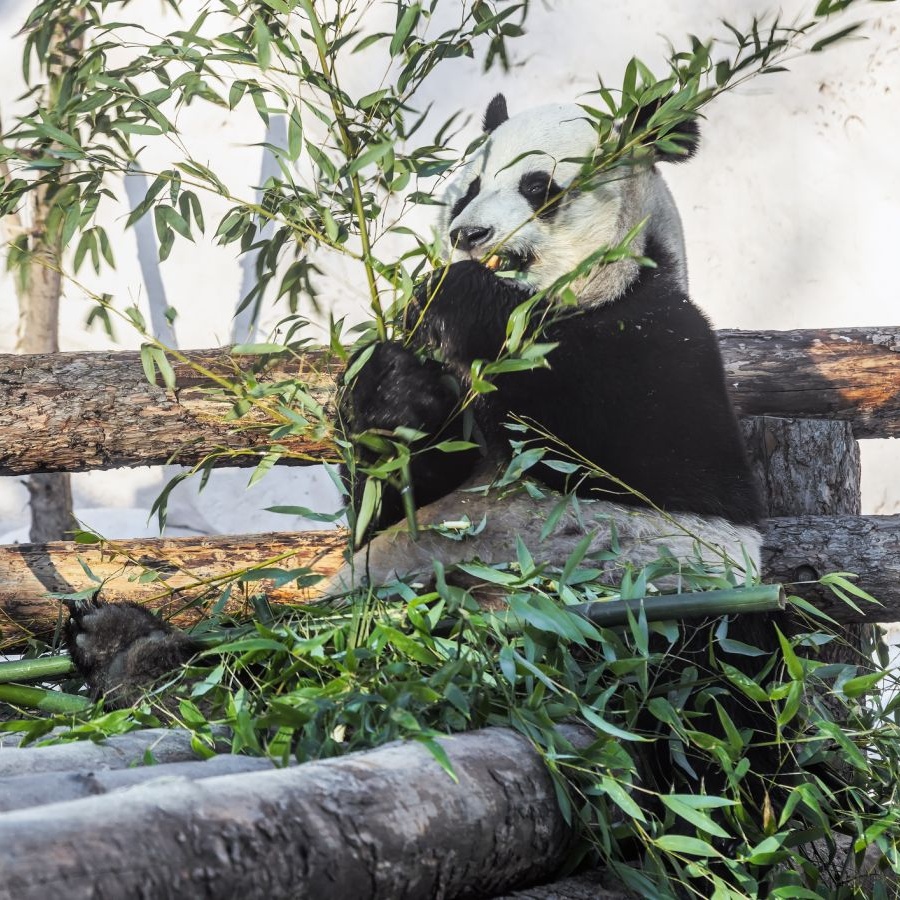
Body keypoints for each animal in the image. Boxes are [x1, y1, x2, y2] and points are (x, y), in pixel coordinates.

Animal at [65, 95, 768, 716]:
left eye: (537, 184)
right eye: (469, 186)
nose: (469, 233)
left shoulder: (661, 335)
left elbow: (627, 453)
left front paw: (455, 293)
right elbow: (388, 494)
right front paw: (395, 387)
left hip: (637, 628)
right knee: (259, 645)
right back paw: (120, 644)